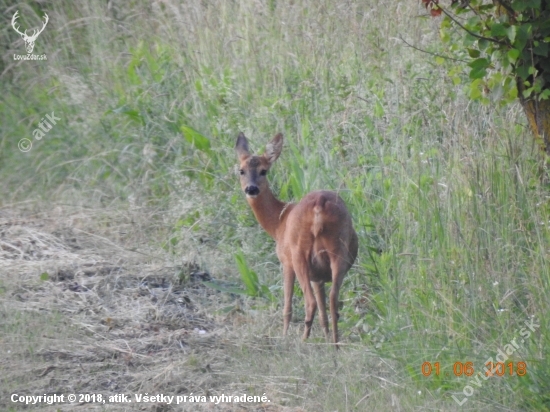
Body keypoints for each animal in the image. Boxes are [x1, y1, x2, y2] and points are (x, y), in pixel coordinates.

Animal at [235, 133, 360, 344]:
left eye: (263, 171)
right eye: (241, 171)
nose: (251, 189)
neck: (278, 223)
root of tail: (319, 205)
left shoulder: (285, 262)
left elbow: (287, 307)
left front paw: (284, 336)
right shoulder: (318, 276)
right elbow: (323, 313)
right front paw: (326, 338)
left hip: (299, 253)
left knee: (309, 302)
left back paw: (302, 342)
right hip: (338, 250)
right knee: (333, 300)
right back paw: (335, 345)